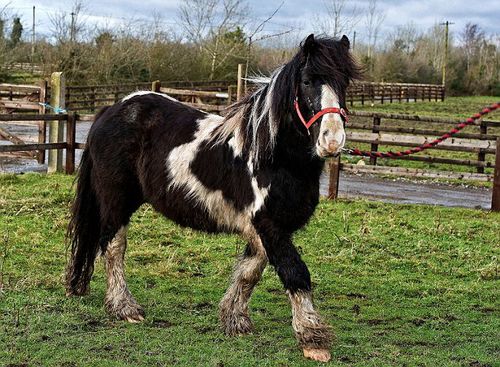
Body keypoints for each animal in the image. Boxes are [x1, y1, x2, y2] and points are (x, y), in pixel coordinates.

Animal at [66, 33, 362, 362]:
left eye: (345, 82)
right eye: (308, 81)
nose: (332, 141)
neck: (273, 157)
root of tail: (110, 110)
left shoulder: (261, 229)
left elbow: (250, 271)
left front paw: (234, 319)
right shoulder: (269, 225)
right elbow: (295, 272)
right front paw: (313, 339)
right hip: (116, 200)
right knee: (113, 246)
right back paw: (124, 307)